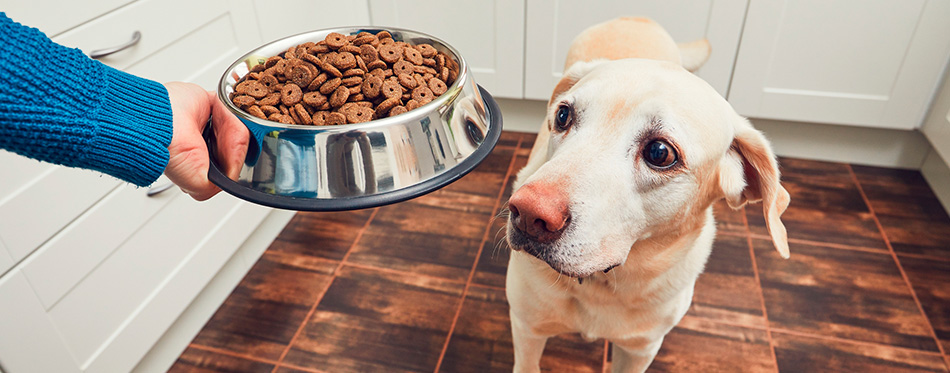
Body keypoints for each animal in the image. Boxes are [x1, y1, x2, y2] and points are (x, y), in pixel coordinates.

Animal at [506, 18, 796, 372]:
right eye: (563, 116)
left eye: (660, 153)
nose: (527, 213)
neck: (602, 285)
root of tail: (637, 18)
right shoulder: (526, 328)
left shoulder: (640, 351)